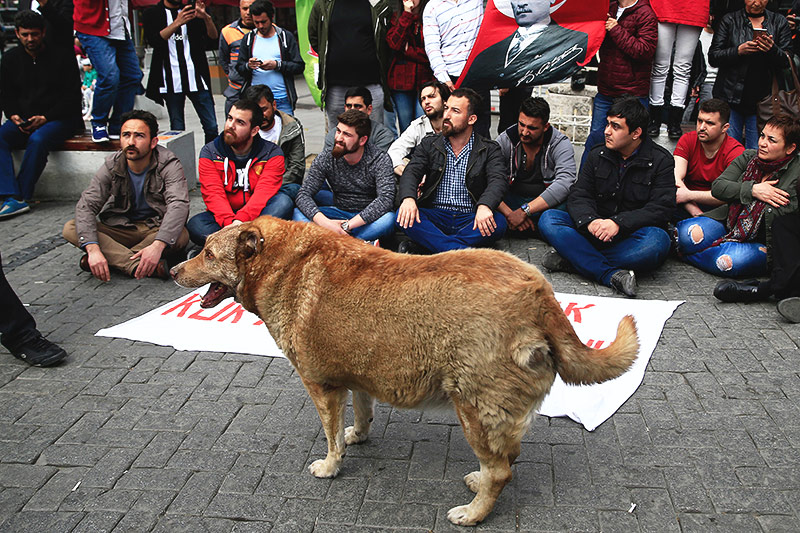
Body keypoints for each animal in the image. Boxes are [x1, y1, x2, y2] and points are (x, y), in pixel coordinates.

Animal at [172, 216, 640, 524]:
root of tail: (539, 291)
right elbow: (361, 414)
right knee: (507, 456)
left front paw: (331, 465)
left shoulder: (320, 384)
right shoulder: (358, 373)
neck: (281, 262)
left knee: (501, 469)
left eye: (209, 253)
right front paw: (358, 435)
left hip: (473, 406)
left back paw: (473, 513)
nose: (175, 268)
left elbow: (330, 437)